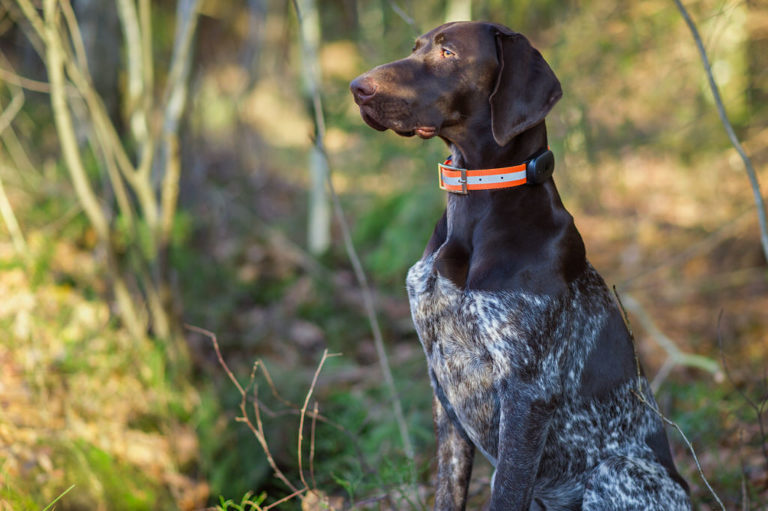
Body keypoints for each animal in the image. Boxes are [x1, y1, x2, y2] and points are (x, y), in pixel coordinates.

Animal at [348, 22, 688, 510]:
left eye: (449, 54)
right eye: (415, 48)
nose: (357, 88)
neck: (474, 204)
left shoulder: (526, 392)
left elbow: (507, 492)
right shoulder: (442, 384)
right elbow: (448, 489)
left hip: (618, 472)